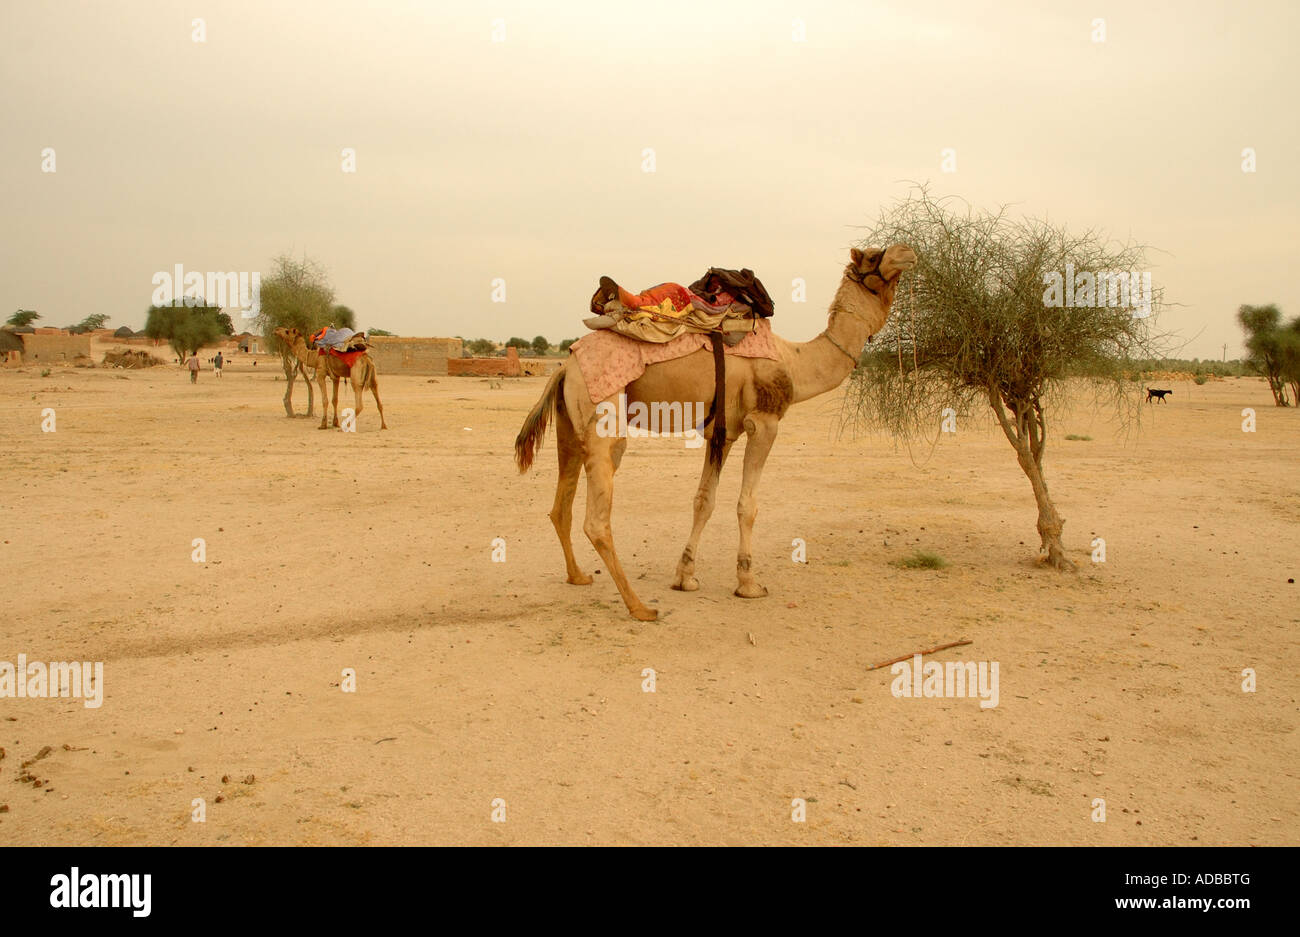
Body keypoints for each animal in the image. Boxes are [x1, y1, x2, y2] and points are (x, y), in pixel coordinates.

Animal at [512, 244, 920, 618]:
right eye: (874, 256)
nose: (909, 251)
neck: (794, 362)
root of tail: (565, 366)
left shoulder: (723, 432)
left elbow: (703, 501)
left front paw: (685, 577)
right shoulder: (764, 422)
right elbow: (747, 505)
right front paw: (749, 583)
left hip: (569, 423)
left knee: (560, 506)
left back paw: (579, 576)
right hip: (604, 415)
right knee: (597, 517)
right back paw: (639, 607)